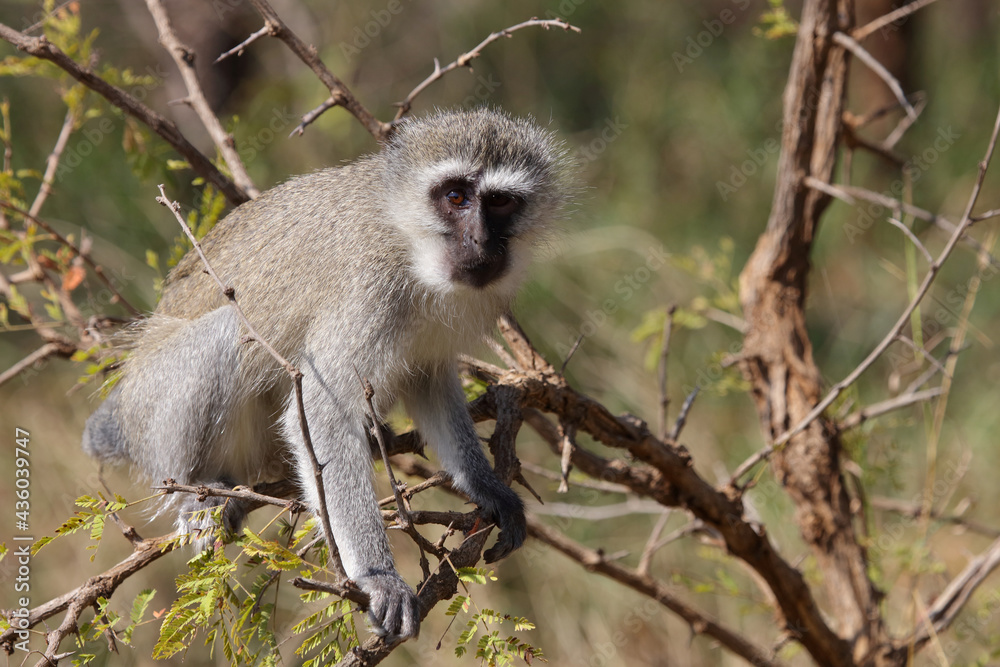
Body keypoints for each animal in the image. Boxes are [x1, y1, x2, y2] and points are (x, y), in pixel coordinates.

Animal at [82, 108, 571, 643]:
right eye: (455, 197)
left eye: (501, 202)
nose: (481, 240)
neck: (409, 241)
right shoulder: (369, 286)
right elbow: (322, 413)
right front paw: (380, 579)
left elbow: (429, 382)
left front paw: (487, 487)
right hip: (153, 407)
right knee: (224, 333)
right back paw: (200, 491)